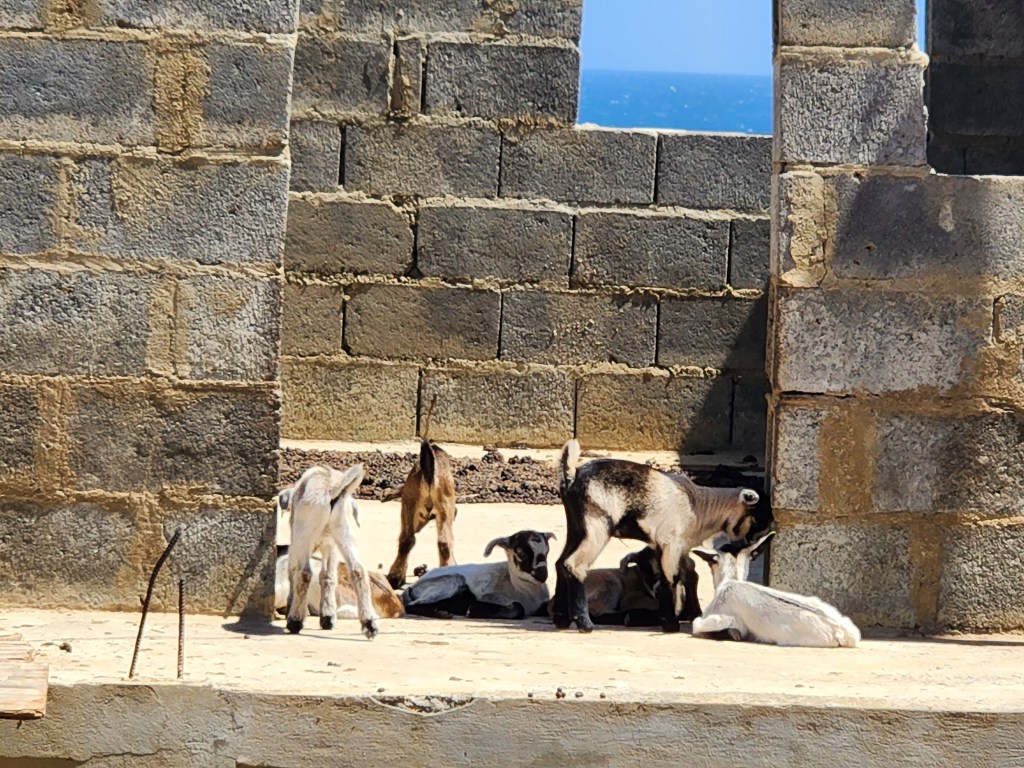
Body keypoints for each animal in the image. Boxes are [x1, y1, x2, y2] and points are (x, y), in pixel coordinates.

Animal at [278, 464, 379, 639]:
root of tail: (332, 488)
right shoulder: (330, 546)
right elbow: (328, 576)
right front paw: (328, 616)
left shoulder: (295, 543)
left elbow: (294, 572)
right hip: (343, 527)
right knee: (358, 569)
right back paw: (369, 623)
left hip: (305, 531)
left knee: (304, 573)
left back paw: (295, 621)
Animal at [402, 530, 554, 620]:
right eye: (521, 552)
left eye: (547, 551)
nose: (542, 574)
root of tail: (411, 587)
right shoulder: (489, 595)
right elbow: (518, 608)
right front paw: (472, 609)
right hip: (450, 581)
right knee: (410, 606)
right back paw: (441, 613)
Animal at [553, 439, 763, 634]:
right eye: (758, 519)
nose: (755, 548)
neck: (699, 505)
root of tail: (573, 474)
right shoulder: (671, 544)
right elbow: (671, 576)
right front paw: (670, 623)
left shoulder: (678, 548)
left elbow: (688, 572)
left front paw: (691, 612)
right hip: (597, 526)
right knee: (574, 565)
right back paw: (585, 623)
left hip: (576, 528)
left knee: (560, 563)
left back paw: (561, 618)